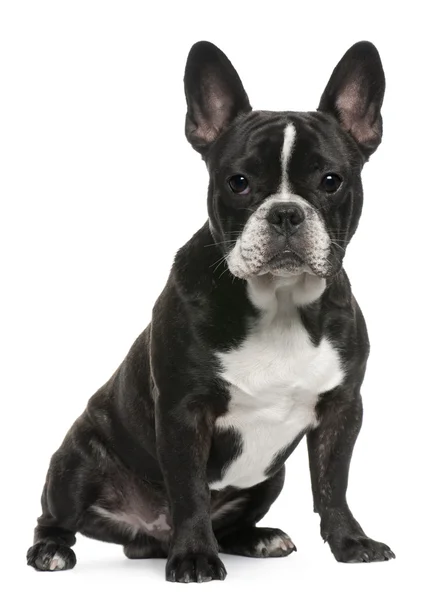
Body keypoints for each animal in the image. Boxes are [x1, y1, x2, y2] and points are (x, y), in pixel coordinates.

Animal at [26, 37, 396, 580]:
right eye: (237, 182)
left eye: (332, 180)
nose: (286, 212)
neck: (280, 304)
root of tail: (146, 537)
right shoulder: (184, 413)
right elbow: (190, 491)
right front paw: (195, 556)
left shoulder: (342, 408)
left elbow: (334, 483)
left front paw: (351, 542)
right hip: (75, 462)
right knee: (56, 513)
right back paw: (53, 549)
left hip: (270, 478)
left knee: (238, 520)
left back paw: (258, 538)